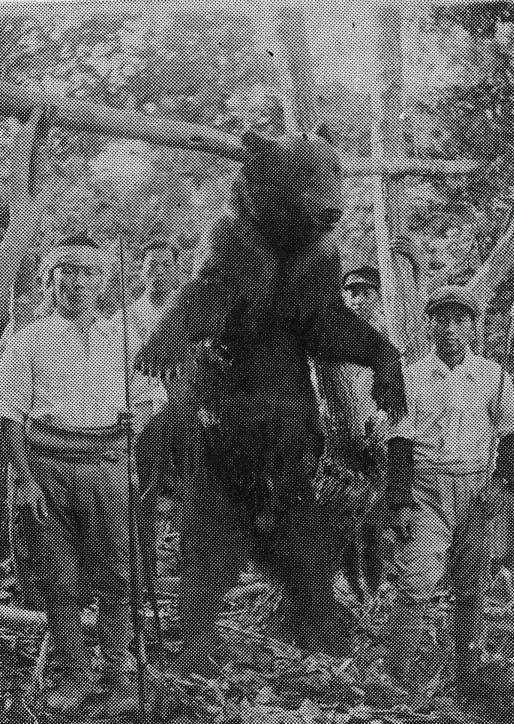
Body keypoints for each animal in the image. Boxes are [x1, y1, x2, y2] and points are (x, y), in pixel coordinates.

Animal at [135, 129, 406, 675]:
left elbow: (330, 323)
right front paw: (157, 350)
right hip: (213, 468)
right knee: (206, 553)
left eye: (330, 168)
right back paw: (199, 647)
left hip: (301, 477)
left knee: (309, 551)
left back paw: (327, 635)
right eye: (306, 170)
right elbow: (208, 301)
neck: (283, 238)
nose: (334, 207)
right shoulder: (237, 249)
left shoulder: (315, 267)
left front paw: (391, 379)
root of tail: (260, 520)